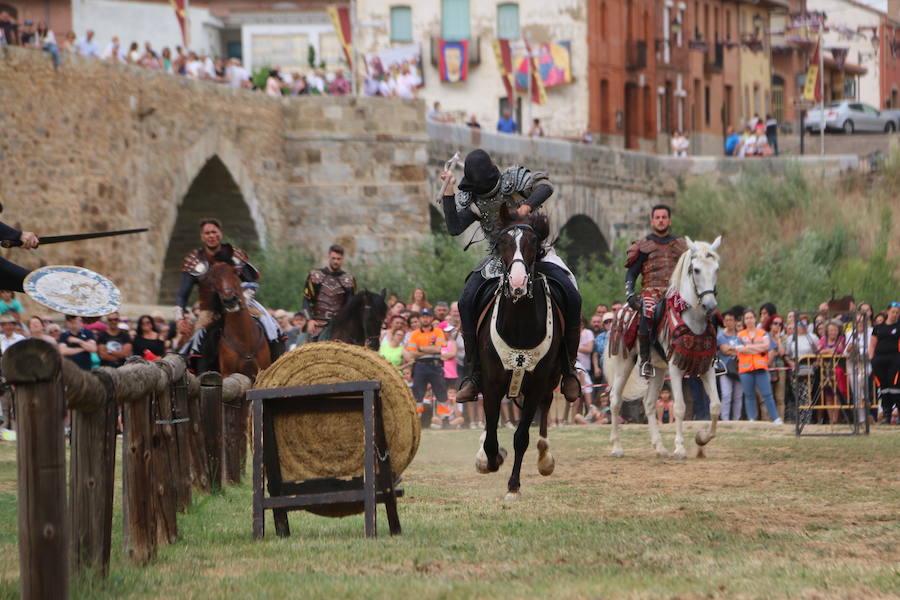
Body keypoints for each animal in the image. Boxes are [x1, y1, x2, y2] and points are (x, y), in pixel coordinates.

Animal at [474, 204, 568, 500]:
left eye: (533, 243)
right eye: (502, 243)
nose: (517, 282)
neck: (519, 324)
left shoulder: (537, 384)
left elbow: (521, 437)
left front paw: (513, 485)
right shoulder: (491, 383)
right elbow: (492, 436)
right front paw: (491, 459)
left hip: (550, 380)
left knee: (547, 407)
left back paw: (545, 457)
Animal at [604, 236, 724, 460]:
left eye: (716, 269)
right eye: (696, 270)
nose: (710, 305)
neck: (691, 319)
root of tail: (620, 312)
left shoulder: (707, 367)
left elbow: (715, 406)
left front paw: (701, 439)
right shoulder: (676, 369)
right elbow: (679, 407)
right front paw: (680, 449)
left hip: (658, 369)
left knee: (649, 403)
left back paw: (659, 447)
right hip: (625, 362)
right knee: (615, 399)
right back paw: (616, 447)